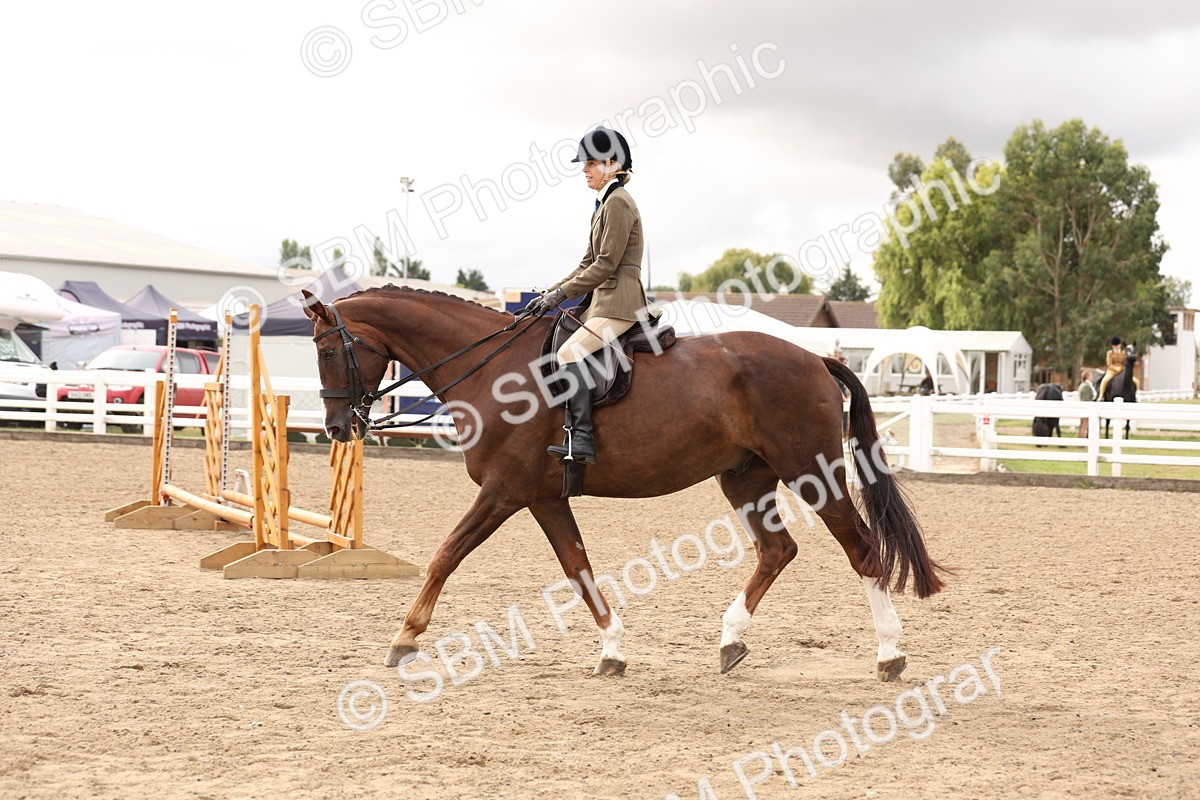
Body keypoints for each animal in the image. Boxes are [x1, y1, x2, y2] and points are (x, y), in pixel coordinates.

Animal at [301, 286, 949, 682]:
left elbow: (445, 554)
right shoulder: (542, 497)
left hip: (811, 472)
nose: (336, 427)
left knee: (862, 551)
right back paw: (730, 641)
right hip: (745, 477)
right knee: (777, 549)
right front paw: (612, 648)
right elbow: (577, 567)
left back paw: (890, 655)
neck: (490, 370)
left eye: (329, 350)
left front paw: (404, 640)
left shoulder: (504, 492)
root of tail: (816, 359)